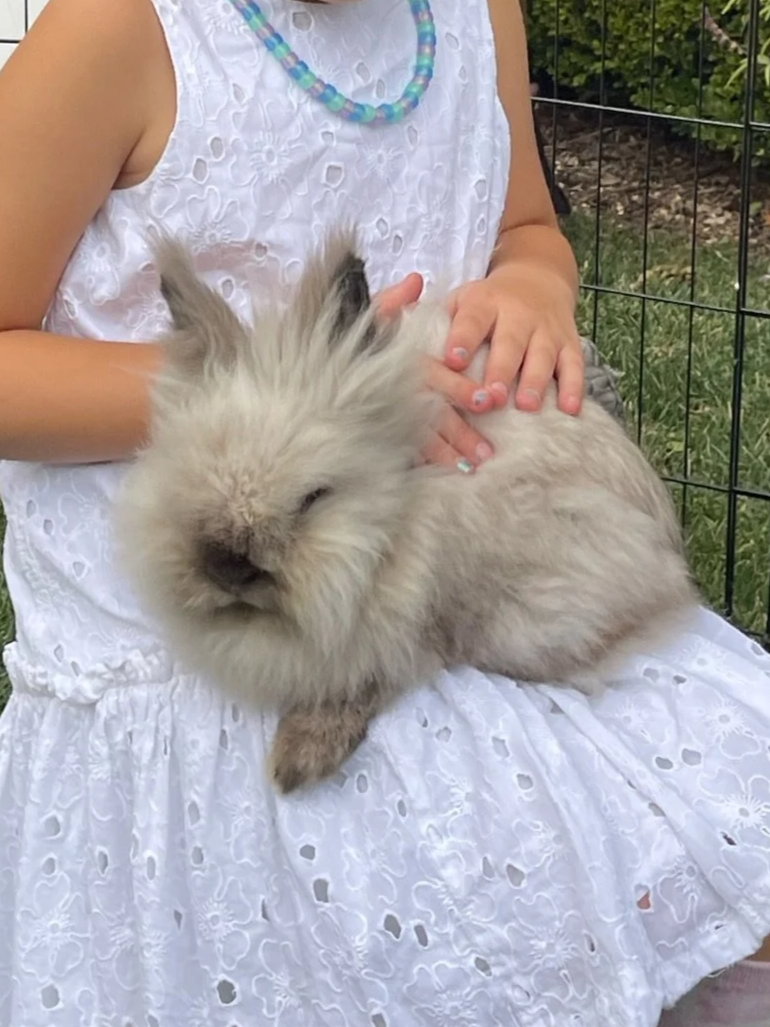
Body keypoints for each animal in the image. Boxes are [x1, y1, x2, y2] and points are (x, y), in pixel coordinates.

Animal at [115, 229, 699, 794]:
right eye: (181, 473)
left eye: (314, 497)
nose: (228, 571)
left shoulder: (409, 625)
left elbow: (374, 675)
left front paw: (297, 760)